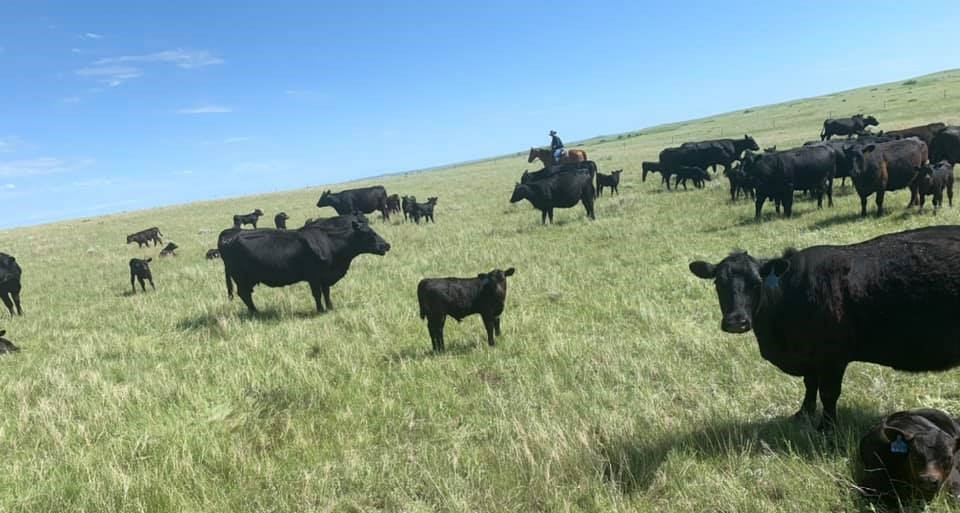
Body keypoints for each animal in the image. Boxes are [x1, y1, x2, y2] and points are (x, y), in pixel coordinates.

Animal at [220, 213, 390, 312]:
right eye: (370, 233)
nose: (387, 245)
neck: (329, 243)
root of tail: (229, 237)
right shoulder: (313, 277)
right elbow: (317, 294)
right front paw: (320, 310)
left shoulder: (325, 277)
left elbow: (326, 292)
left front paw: (330, 307)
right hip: (241, 278)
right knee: (244, 294)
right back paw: (256, 312)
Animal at [688, 226, 960, 430]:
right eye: (718, 283)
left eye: (757, 283)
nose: (737, 321)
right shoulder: (809, 357)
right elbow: (810, 384)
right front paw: (803, 413)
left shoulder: (832, 357)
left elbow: (828, 392)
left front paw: (826, 427)